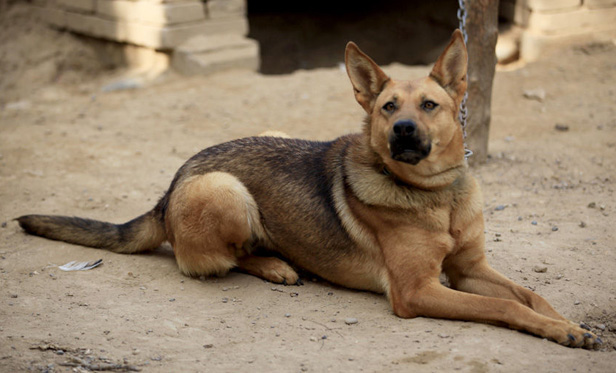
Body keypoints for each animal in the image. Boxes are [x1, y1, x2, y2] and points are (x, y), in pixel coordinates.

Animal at [15, 30, 600, 348]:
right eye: (389, 107)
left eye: (429, 105)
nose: (402, 131)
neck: (436, 196)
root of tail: (171, 186)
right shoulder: (419, 291)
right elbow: (504, 309)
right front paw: (552, 327)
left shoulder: (469, 269)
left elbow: (532, 295)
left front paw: (569, 326)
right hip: (224, 189)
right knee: (212, 258)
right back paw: (276, 265)